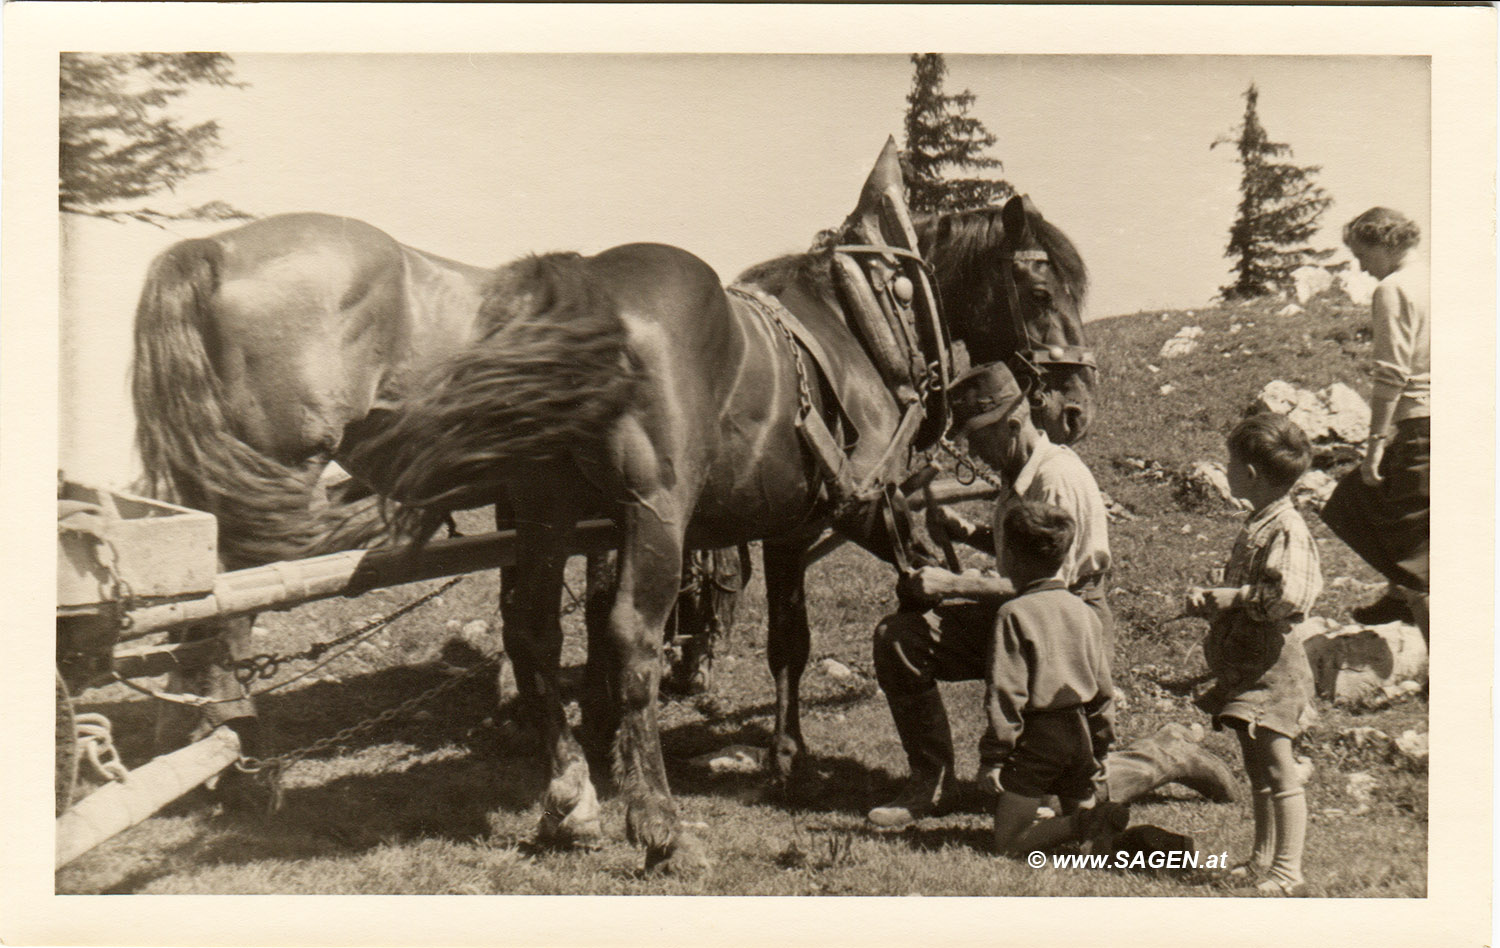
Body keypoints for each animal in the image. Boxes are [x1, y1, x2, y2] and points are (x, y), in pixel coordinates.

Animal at [348, 189, 1104, 870]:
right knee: (628, 639)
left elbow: (789, 642)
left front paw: (789, 757)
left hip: (545, 512)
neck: (866, 320)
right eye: (1041, 288)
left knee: (531, 631)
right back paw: (658, 824)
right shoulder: (859, 502)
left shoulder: (788, 525)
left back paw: (570, 799)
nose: (1074, 408)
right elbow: (899, 583)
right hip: (653, 518)